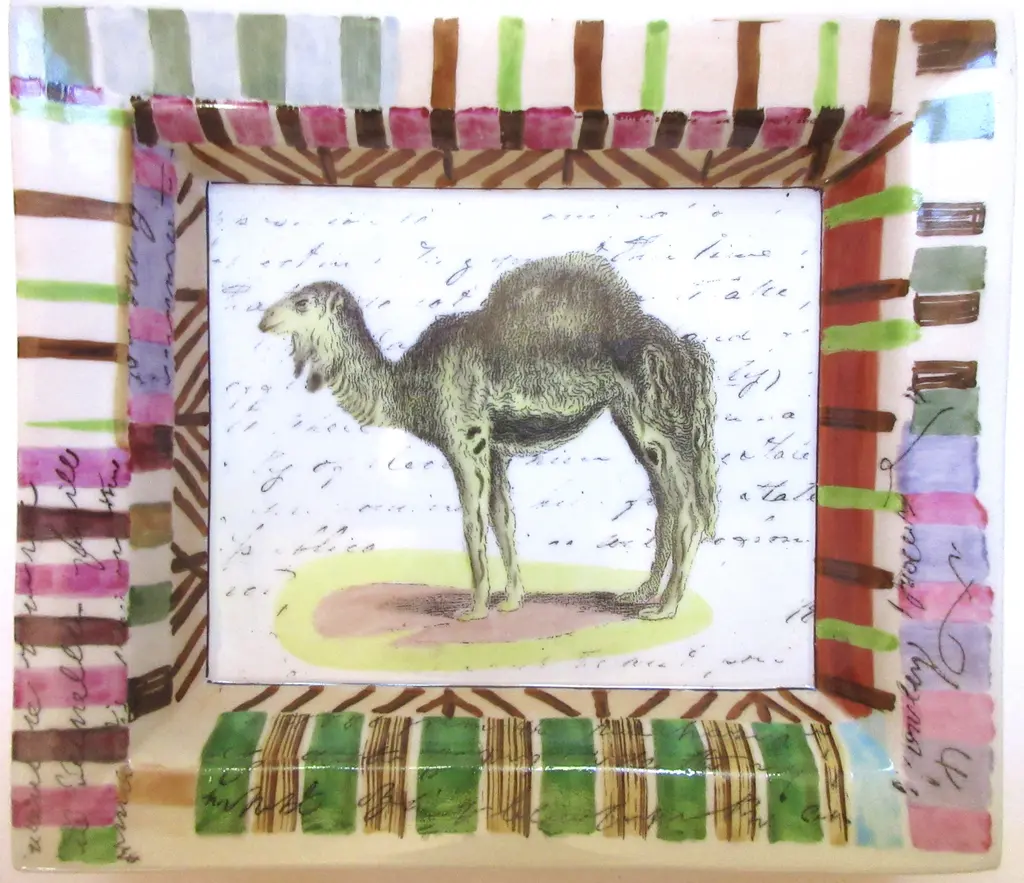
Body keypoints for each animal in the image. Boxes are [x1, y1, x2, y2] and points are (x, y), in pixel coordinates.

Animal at [258, 252, 717, 622]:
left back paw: (665, 608)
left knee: (689, 510)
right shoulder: (495, 449)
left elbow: (471, 522)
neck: (409, 385)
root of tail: (686, 350)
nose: (264, 320)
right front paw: (512, 600)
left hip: (659, 424)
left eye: (302, 302)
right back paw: (639, 594)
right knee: (667, 504)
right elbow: (502, 519)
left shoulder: (465, 441)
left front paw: (475, 609)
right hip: (633, 423)